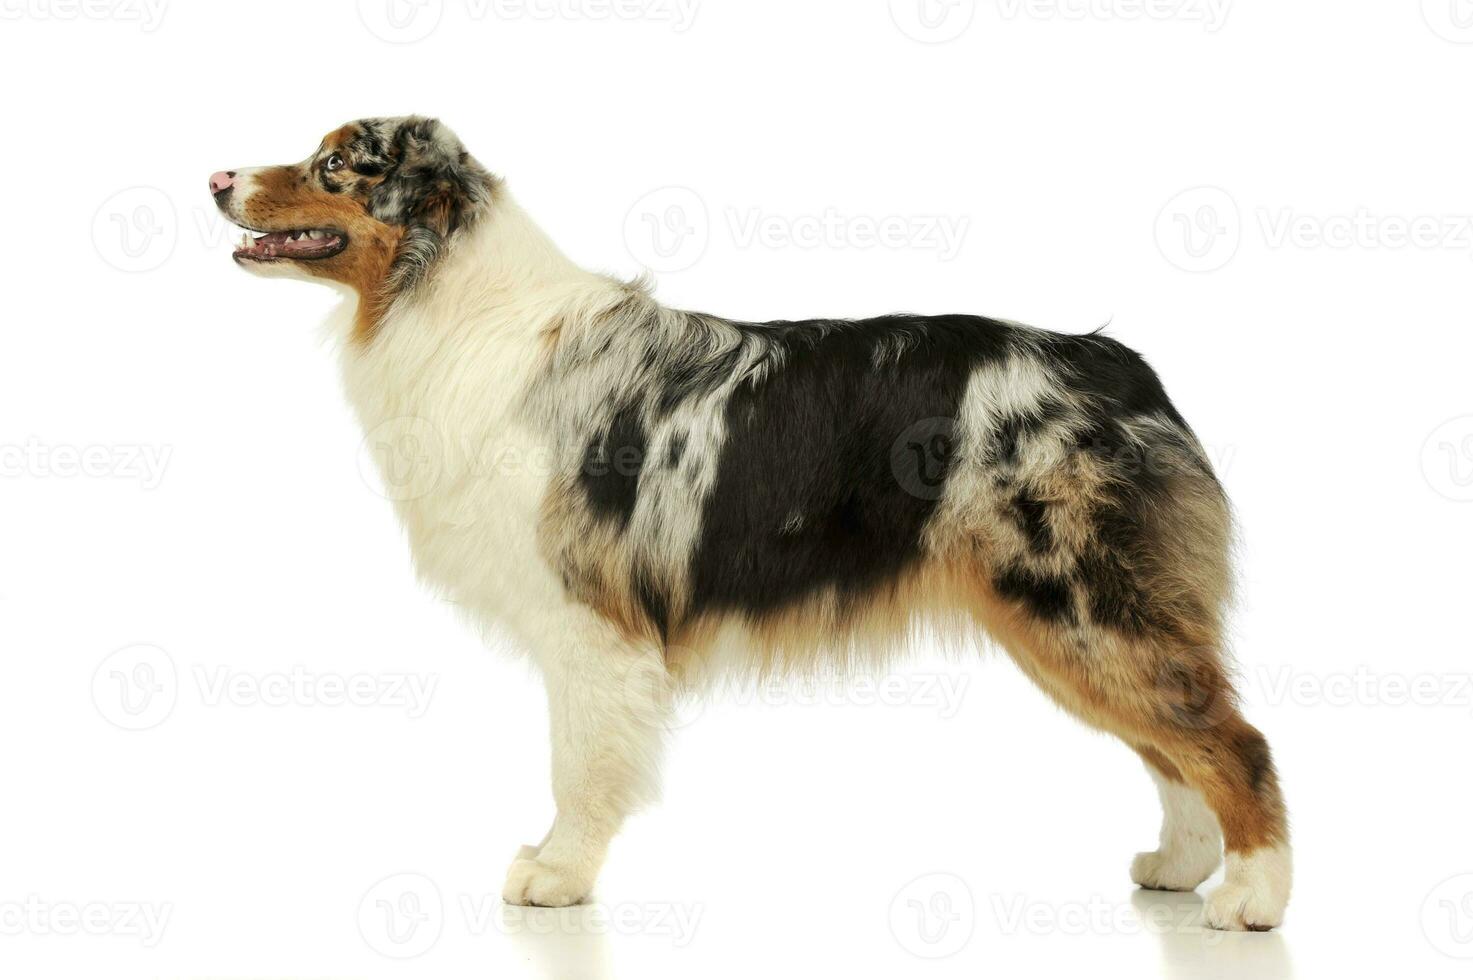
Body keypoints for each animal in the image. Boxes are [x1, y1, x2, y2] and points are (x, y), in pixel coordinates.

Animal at [207, 114, 1290, 925]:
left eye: (335, 163)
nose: (217, 175)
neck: (445, 295)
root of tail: (1125, 370)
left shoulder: (591, 619)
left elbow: (578, 763)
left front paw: (558, 875)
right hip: (1068, 620)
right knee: (1176, 745)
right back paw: (1180, 867)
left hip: (1078, 605)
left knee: (1231, 740)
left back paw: (1251, 899)